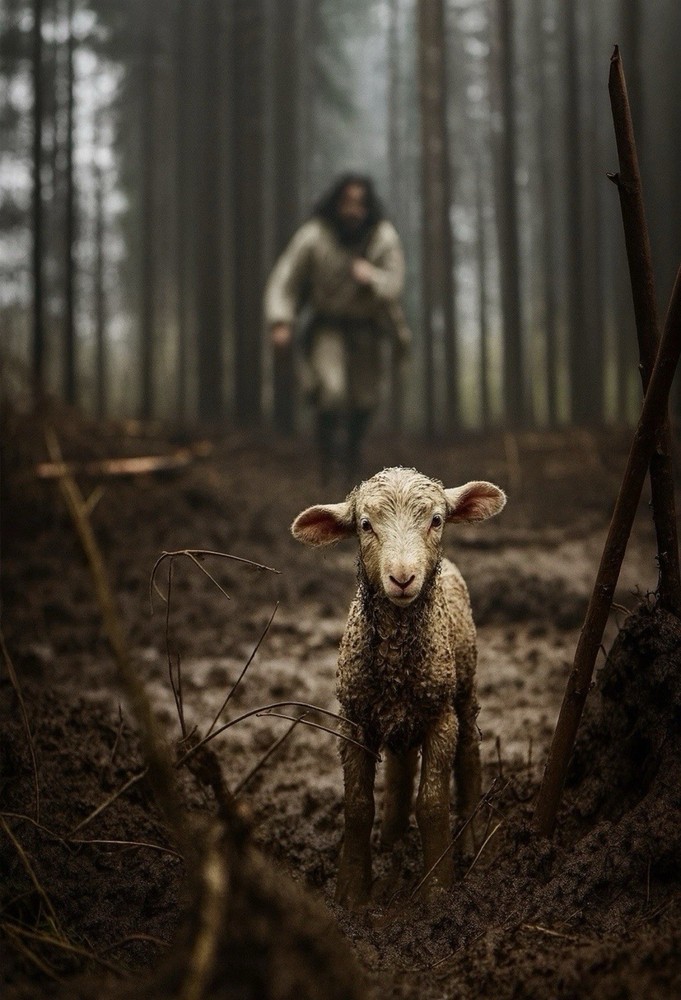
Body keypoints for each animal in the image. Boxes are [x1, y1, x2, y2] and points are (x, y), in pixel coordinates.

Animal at [291, 466, 506, 908]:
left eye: (436, 520)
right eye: (365, 525)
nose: (403, 578)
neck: (395, 657)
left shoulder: (440, 717)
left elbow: (433, 804)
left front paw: (437, 889)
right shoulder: (353, 718)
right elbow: (358, 806)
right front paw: (351, 891)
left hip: (463, 686)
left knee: (470, 752)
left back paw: (472, 837)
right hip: (398, 711)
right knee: (401, 765)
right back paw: (391, 838)